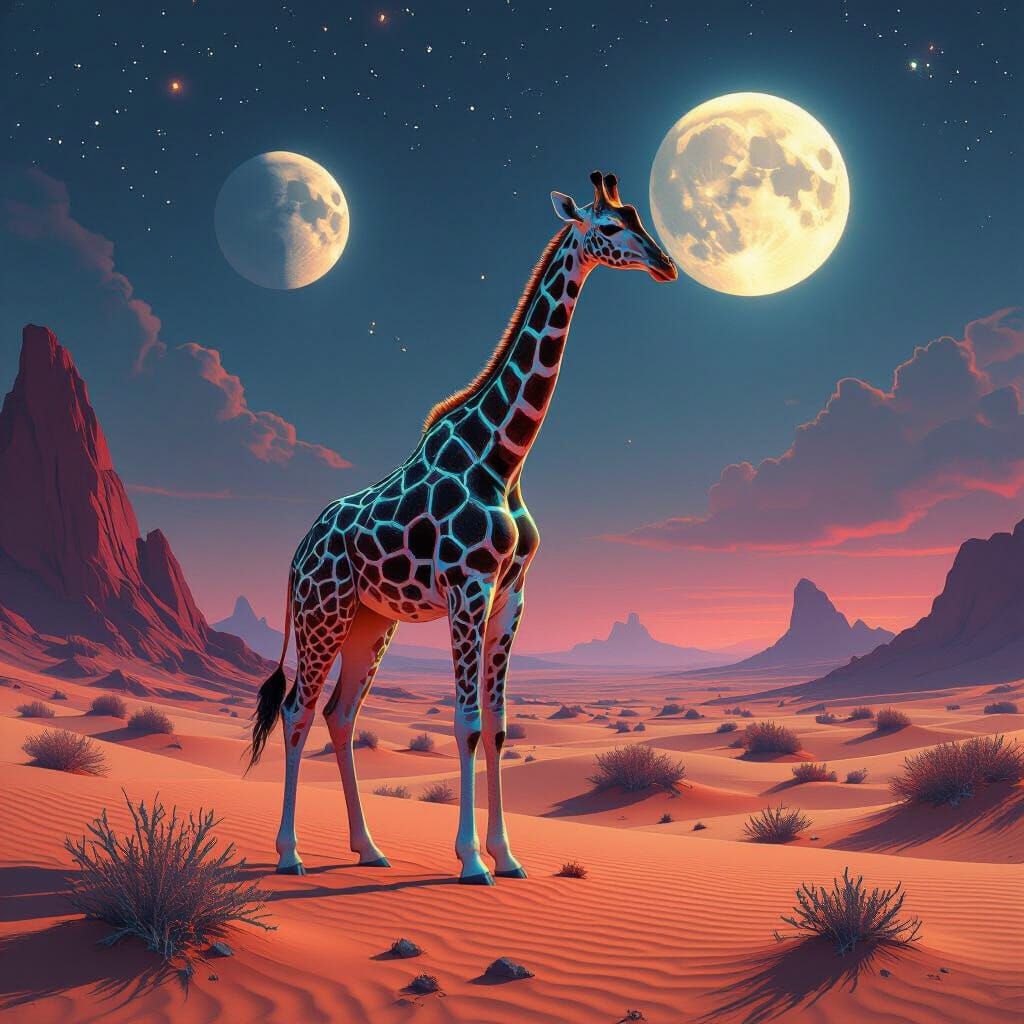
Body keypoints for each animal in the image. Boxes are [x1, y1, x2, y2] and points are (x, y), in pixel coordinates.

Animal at [248, 171, 677, 884]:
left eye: (641, 219)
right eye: (610, 227)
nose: (667, 264)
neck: (503, 456)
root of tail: (296, 553)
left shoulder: (511, 594)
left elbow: (499, 725)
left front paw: (507, 855)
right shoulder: (467, 589)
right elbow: (468, 723)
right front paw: (473, 860)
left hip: (372, 621)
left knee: (340, 716)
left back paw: (369, 848)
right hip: (322, 614)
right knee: (296, 711)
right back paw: (289, 854)